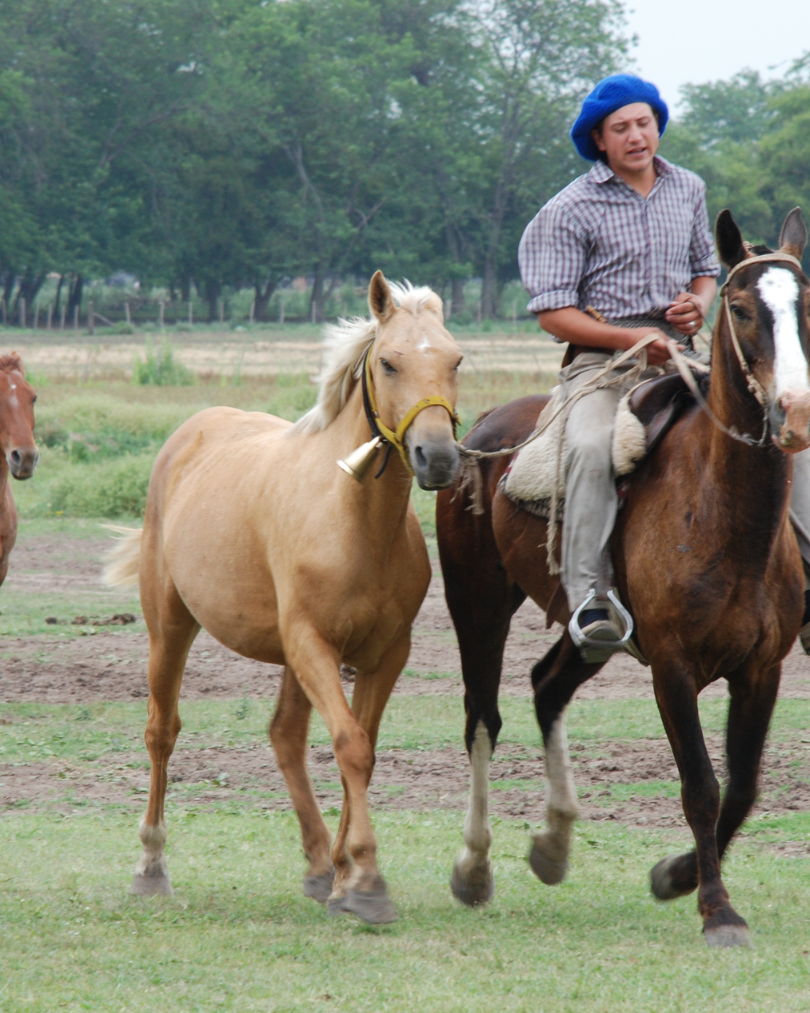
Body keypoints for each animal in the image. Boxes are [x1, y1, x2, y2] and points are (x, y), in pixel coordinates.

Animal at [104, 272, 462, 924]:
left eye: (455, 360)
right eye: (390, 362)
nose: (438, 457)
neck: (353, 522)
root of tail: (190, 433)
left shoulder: (384, 654)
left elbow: (362, 750)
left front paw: (346, 876)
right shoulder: (313, 644)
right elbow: (350, 746)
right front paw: (366, 880)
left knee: (285, 736)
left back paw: (321, 867)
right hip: (171, 628)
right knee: (161, 731)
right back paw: (151, 867)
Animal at [436, 208, 810, 946]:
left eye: (804, 304)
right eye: (742, 308)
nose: (796, 410)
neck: (725, 514)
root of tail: (483, 435)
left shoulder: (763, 669)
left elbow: (744, 784)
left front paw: (676, 875)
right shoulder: (672, 667)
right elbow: (701, 785)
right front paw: (717, 909)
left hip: (591, 633)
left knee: (546, 687)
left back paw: (552, 846)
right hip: (477, 603)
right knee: (483, 718)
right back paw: (473, 867)